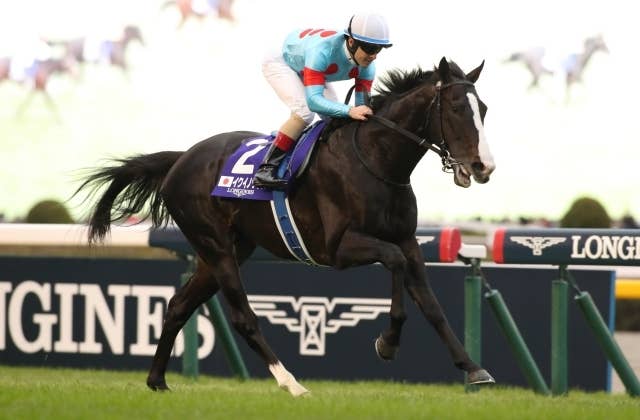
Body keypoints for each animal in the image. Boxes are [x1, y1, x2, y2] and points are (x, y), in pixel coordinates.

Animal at [76, 57, 496, 396]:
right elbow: (393, 264)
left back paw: (157, 381)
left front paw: (473, 368)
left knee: (179, 305)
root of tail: (181, 159)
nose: (483, 166)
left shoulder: (407, 240)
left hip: (227, 249)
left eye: (484, 109)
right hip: (216, 245)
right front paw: (388, 342)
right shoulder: (340, 248)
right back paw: (290, 383)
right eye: (456, 107)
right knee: (242, 316)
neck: (376, 160)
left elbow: (431, 304)